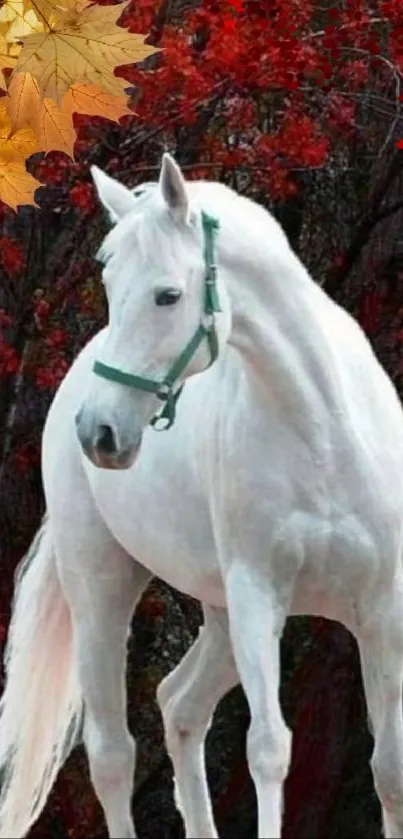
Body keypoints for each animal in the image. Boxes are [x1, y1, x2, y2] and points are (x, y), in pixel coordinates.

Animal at [1, 152, 403, 839]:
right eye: (109, 284)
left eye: (168, 295)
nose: (99, 432)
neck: (324, 430)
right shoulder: (257, 597)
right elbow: (268, 750)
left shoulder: (381, 612)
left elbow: (389, 769)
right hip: (102, 587)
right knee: (113, 753)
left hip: (216, 617)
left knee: (178, 706)